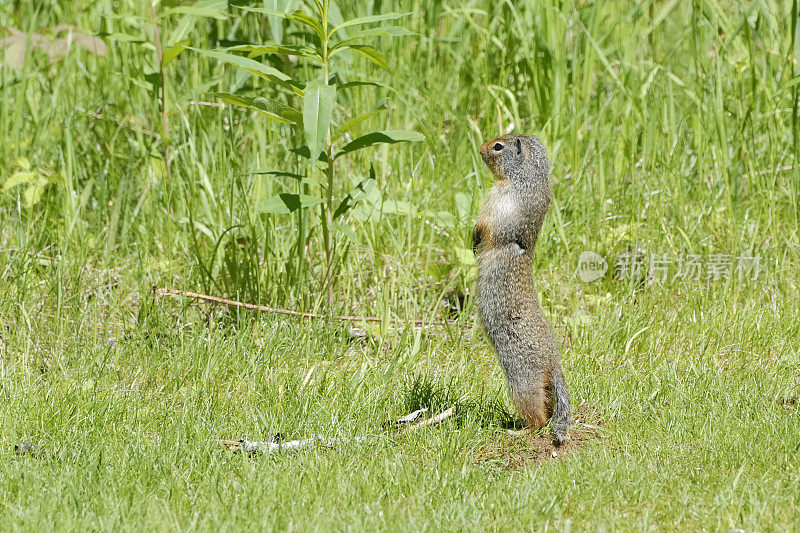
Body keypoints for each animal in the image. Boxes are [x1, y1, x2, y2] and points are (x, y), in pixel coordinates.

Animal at [472, 133, 572, 444]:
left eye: (498, 146)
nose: (479, 148)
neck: (528, 179)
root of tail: (553, 361)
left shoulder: (498, 199)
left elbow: (486, 226)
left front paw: (473, 238)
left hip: (521, 381)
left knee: (537, 417)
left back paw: (517, 430)